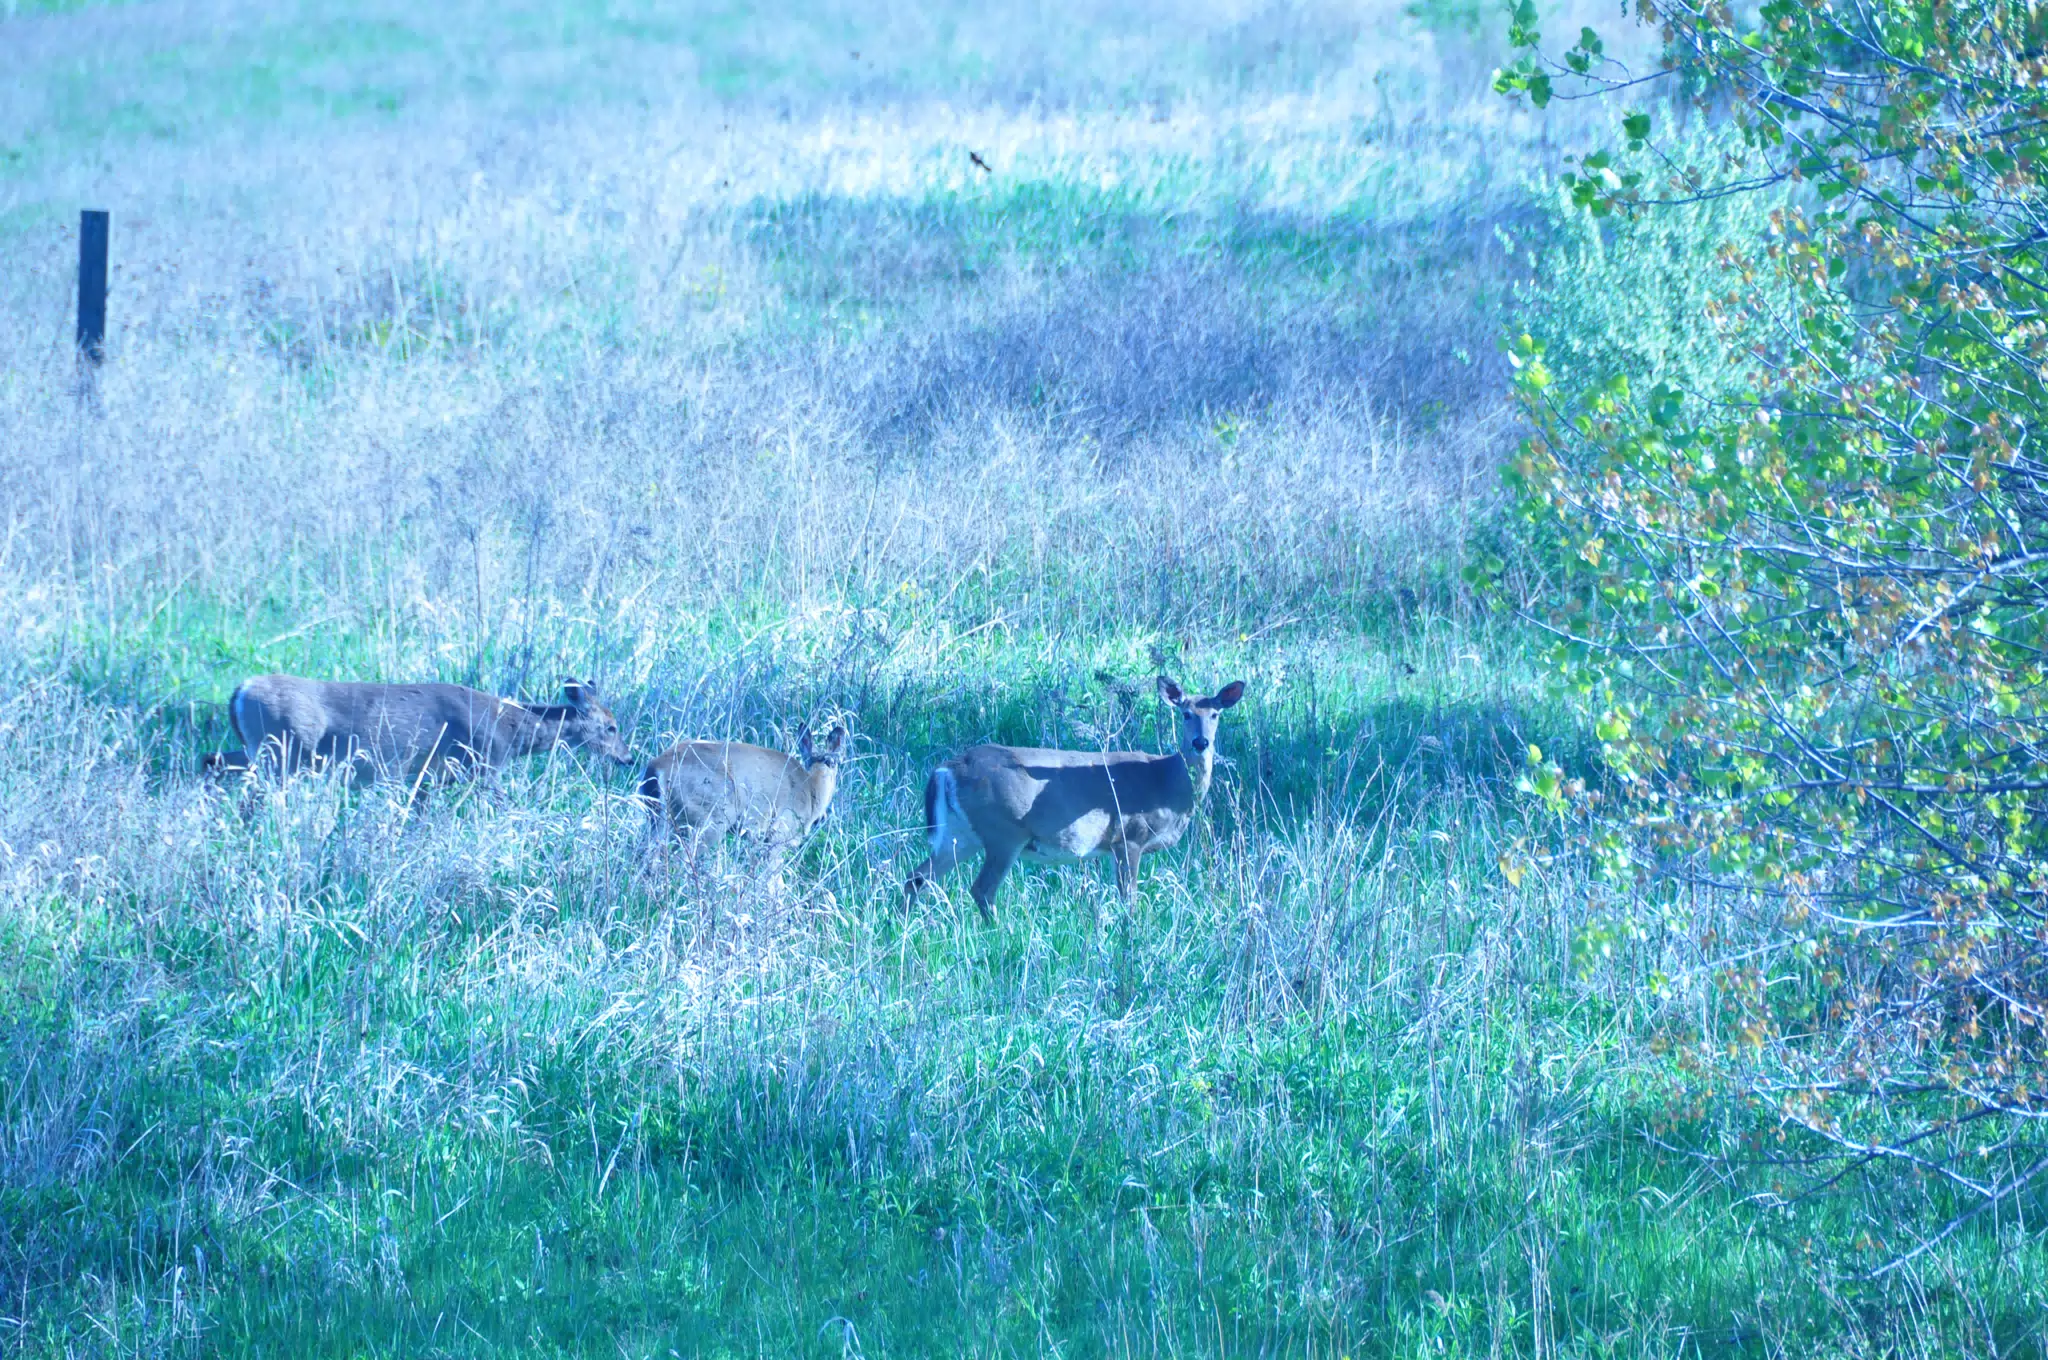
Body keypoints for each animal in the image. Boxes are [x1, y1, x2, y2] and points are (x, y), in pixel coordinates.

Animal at [208, 675, 633, 786]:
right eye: (612, 727)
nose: (628, 758)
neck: (510, 729)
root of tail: (241, 689)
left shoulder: (428, 776)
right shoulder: (483, 764)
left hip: (258, 749)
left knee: (211, 760)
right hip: (284, 751)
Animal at [638, 723, 849, 870]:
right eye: (832, 762)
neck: (811, 787)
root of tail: (656, 767)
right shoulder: (780, 832)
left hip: (658, 819)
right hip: (710, 818)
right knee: (679, 860)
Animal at [903, 676, 1245, 921]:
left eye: (1215, 714)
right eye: (1185, 713)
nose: (1200, 742)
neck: (1166, 782)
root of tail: (948, 768)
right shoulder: (1129, 836)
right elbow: (1129, 899)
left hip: (960, 833)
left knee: (917, 877)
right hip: (1004, 831)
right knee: (982, 889)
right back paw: (1000, 932)